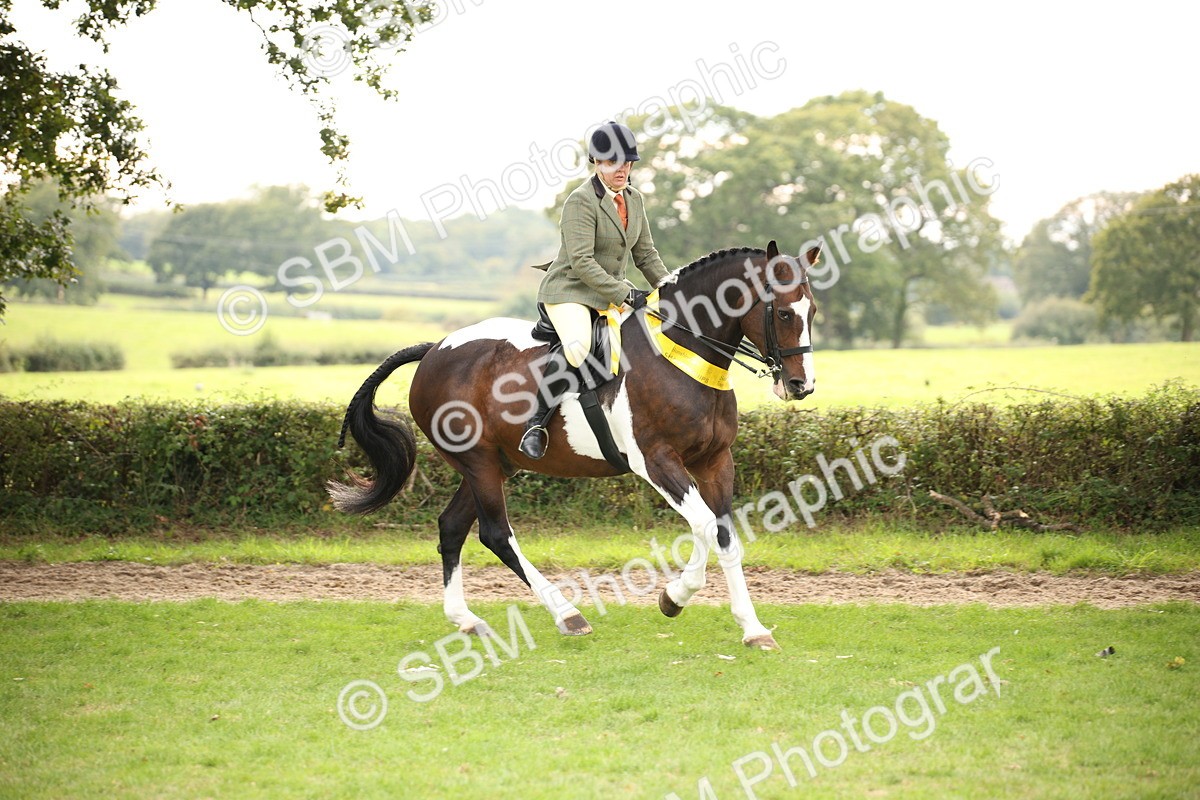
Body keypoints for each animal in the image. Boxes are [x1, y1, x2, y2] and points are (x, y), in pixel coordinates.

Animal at [328, 240, 819, 650]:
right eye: (783, 314)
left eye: (811, 310)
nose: (801, 386)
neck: (683, 353)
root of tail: (435, 350)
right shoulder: (656, 461)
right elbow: (704, 527)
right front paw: (674, 597)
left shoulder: (715, 462)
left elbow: (724, 535)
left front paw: (752, 629)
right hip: (479, 462)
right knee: (495, 533)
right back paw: (567, 615)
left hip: (493, 464)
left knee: (451, 528)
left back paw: (467, 620)